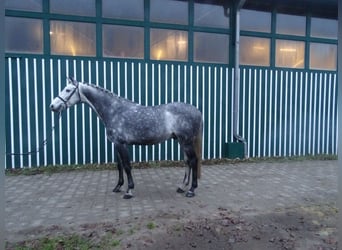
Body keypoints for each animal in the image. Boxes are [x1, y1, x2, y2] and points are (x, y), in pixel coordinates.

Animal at [49, 77, 202, 198]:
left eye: (68, 90)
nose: (52, 106)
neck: (114, 111)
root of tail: (197, 111)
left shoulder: (121, 144)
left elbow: (127, 166)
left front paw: (129, 191)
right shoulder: (116, 144)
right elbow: (120, 165)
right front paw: (118, 187)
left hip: (187, 141)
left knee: (193, 160)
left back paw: (192, 190)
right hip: (181, 141)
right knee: (187, 162)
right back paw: (182, 187)